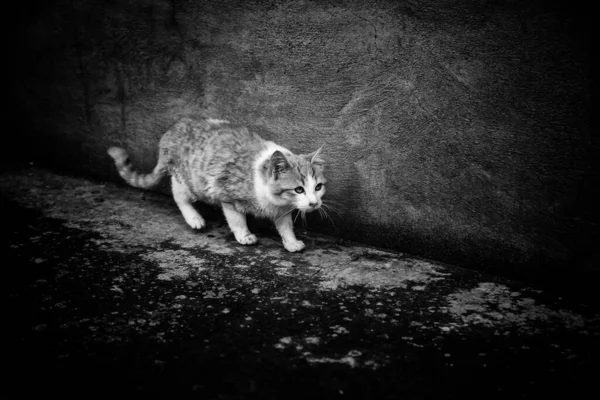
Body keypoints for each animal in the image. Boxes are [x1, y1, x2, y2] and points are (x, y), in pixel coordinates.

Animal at [105, 117, 326, 252]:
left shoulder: (281, 209)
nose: (314, 203)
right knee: (178, 195)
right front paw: (244, 235)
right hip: (189, 179)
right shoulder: (226, 194)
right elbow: (236, 219)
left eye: (318, 187)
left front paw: (291, 242)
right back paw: (194, 217)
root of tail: (173, 129)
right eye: (298, 189)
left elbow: (285, 225)